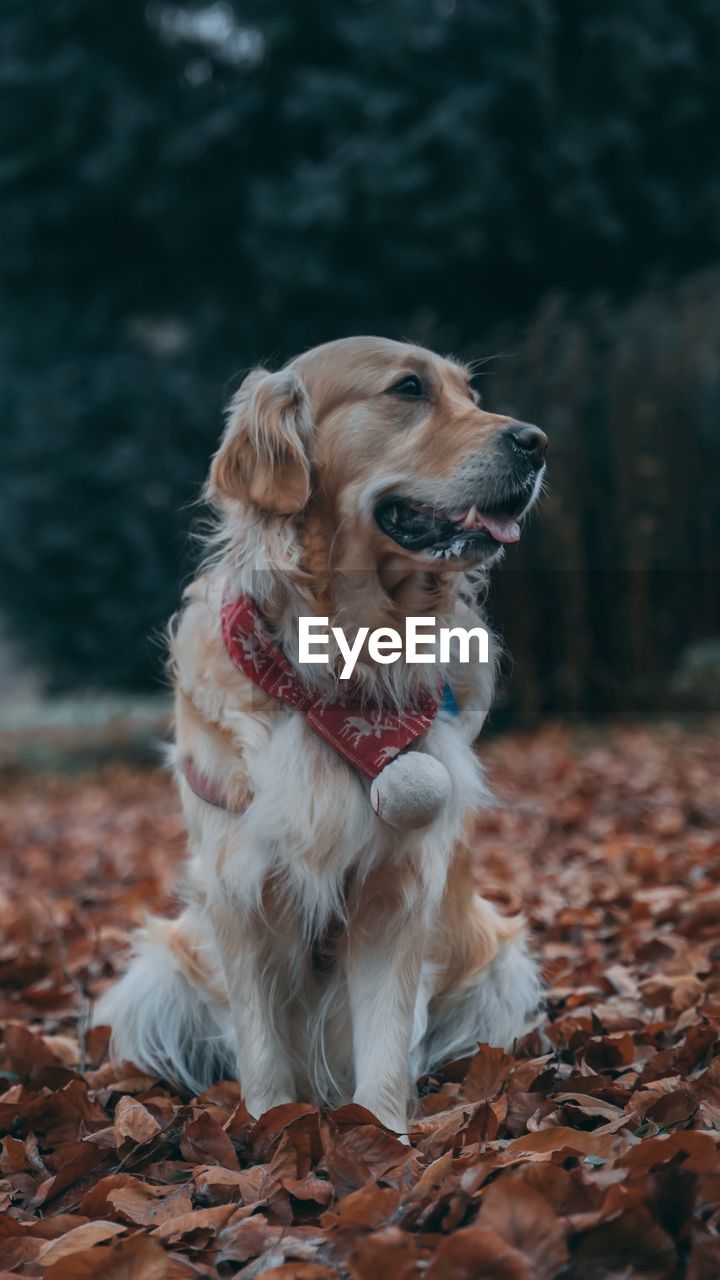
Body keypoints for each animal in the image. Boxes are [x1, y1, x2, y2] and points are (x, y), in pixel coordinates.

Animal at [95, 337, 543, 1131]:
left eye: (471, 394)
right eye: (409, 389)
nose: (537, 442)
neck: (340, 666)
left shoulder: (398, 888)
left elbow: (387, 1043)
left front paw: (383, 1134)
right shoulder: (238, 889)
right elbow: (263, 1049)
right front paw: (269, 1127)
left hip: (499, 962)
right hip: (159, 971)